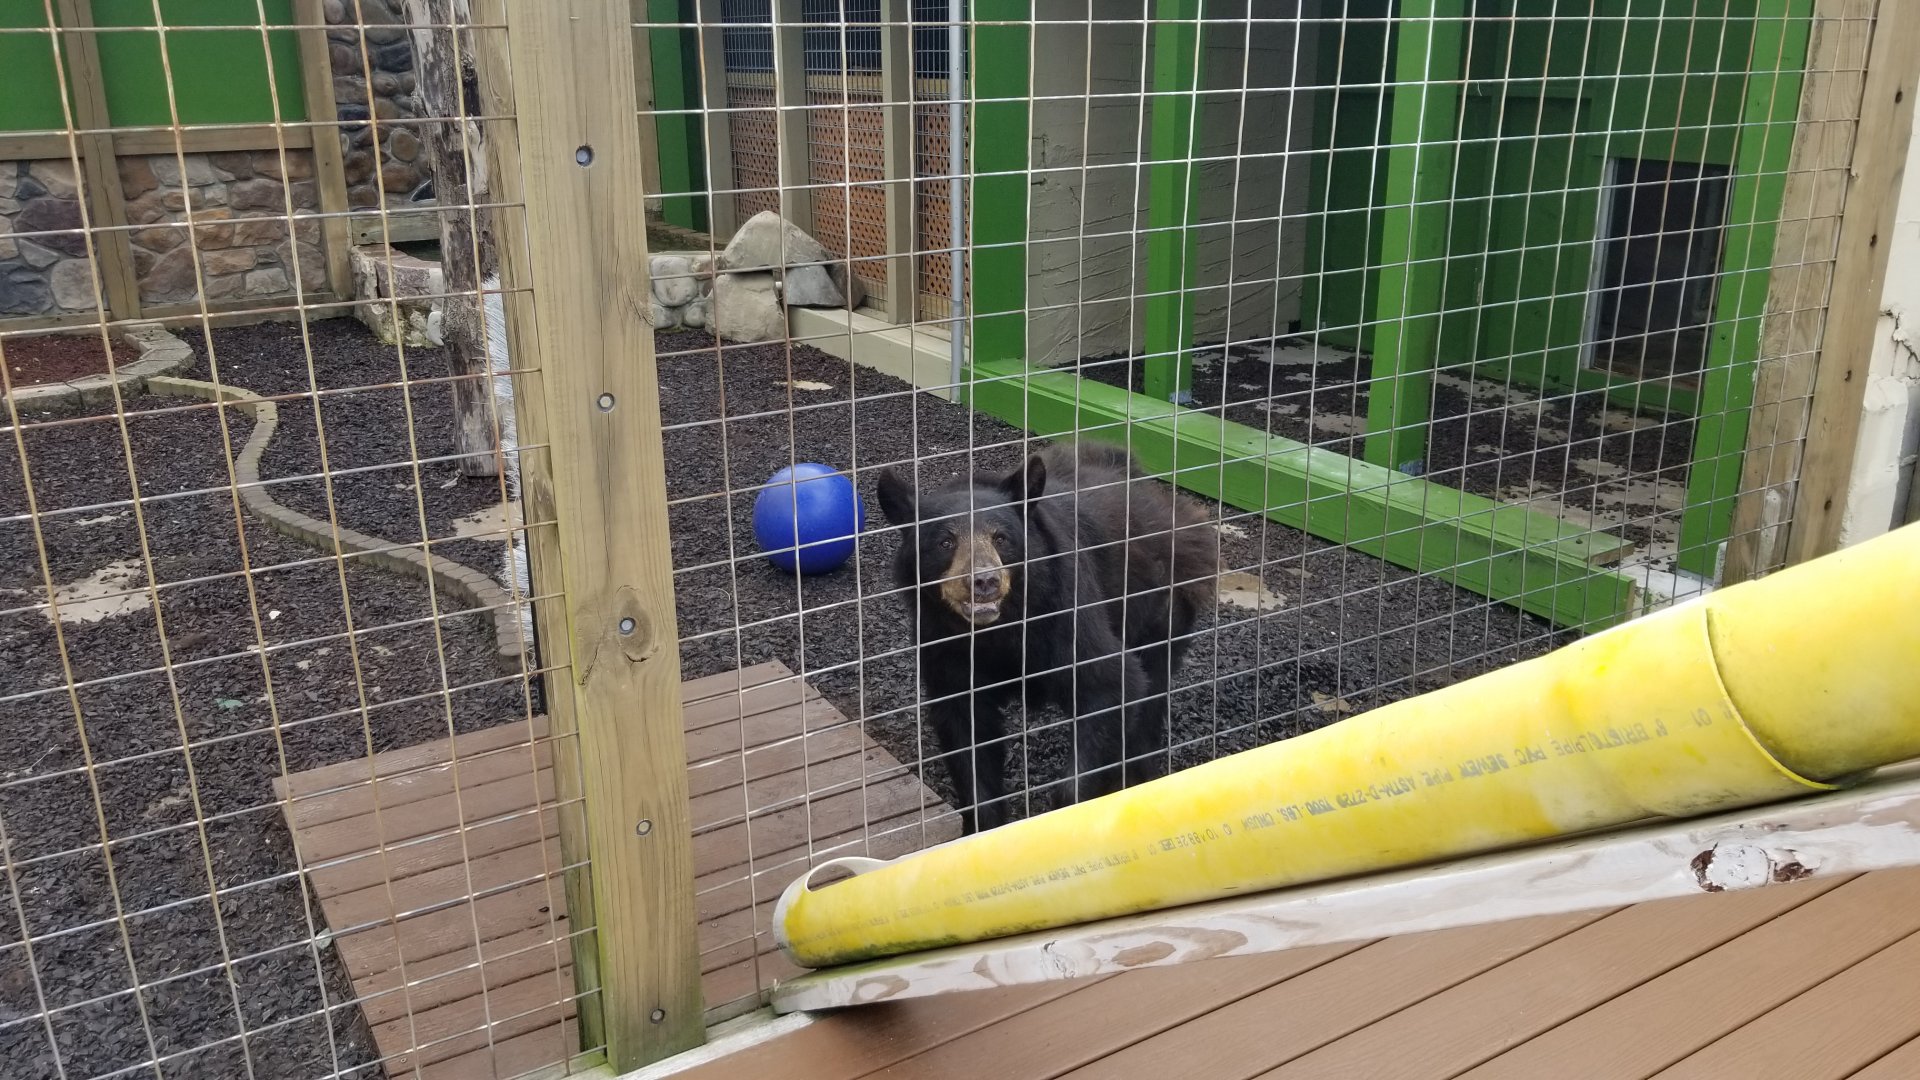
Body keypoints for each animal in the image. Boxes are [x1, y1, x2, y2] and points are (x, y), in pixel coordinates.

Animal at [875, 440, 1219, 834]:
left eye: (1001, 538)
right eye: (946, 542)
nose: (985, 581)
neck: (999, 626)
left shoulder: (1063, 608)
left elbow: (1108, 684)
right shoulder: (940, 639)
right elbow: (965, 729)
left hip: (1159, 606)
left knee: (1149, 699)